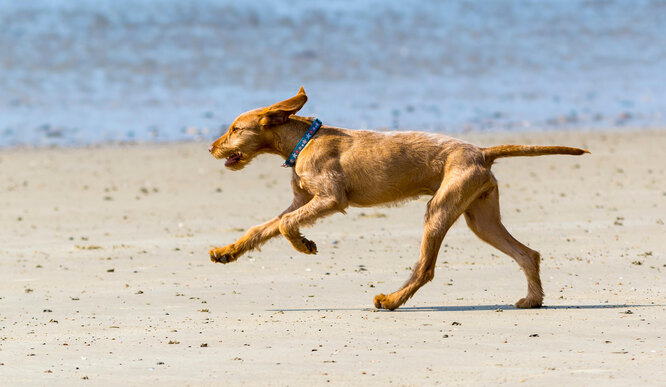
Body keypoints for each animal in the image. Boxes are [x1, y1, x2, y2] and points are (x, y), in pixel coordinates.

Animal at [208, 88, 588, 312]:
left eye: (235, 129)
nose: (210, 148)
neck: (304, 141)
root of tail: (481, 151)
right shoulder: (301, 200)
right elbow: (264, 227)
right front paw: (228, 251)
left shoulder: (331, 198)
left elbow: (286, 224)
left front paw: (304, 245)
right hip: (481, 219)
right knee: (527, 253)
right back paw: (532, 300)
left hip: (439, 209)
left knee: (426, 268)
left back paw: (391, 300)